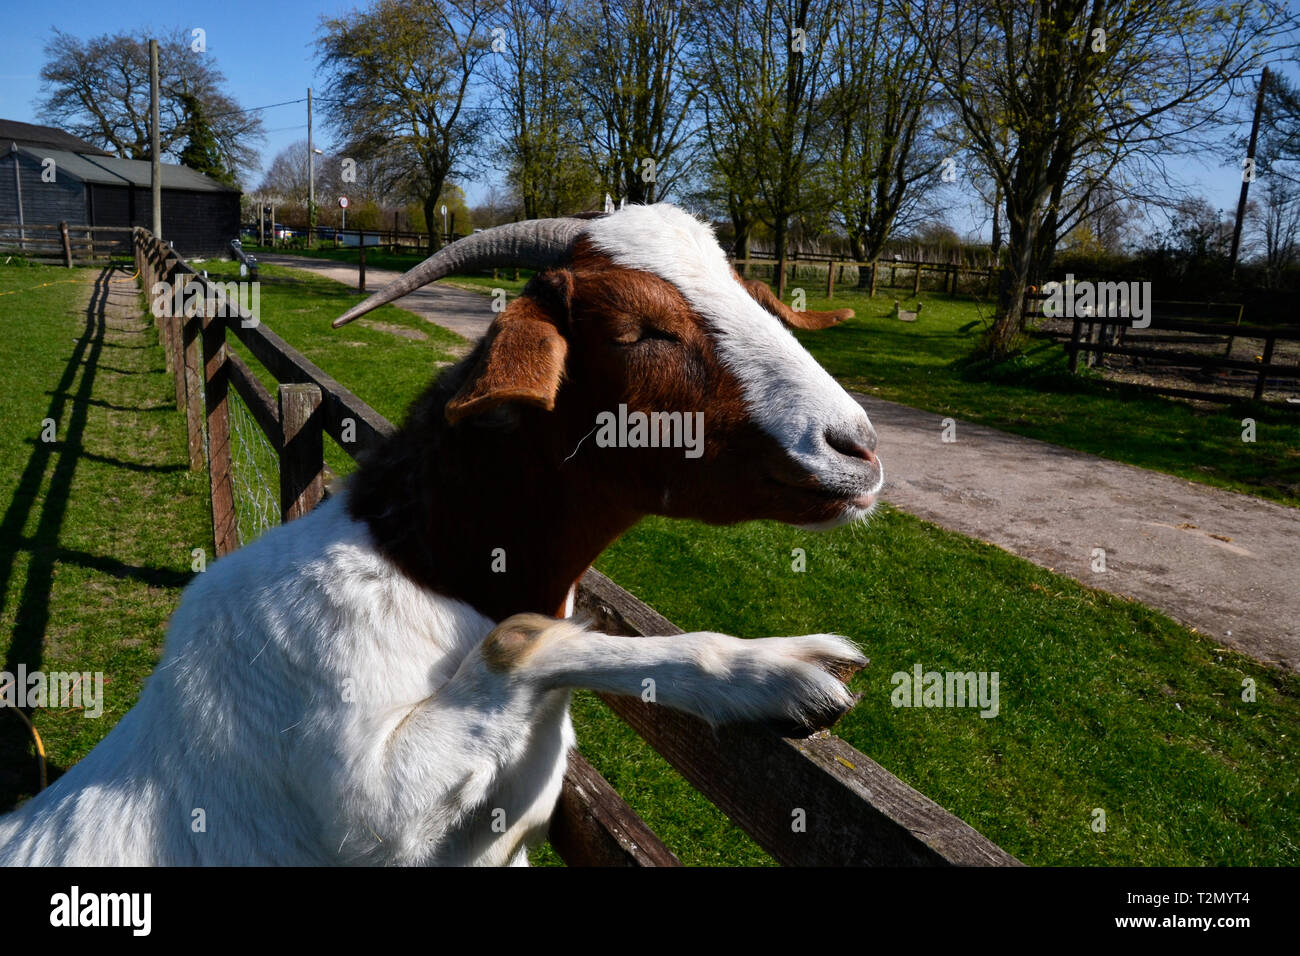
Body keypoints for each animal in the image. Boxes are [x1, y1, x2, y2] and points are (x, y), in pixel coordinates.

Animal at [0, 204, 883, 868]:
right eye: (640, 328)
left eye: (754, 295)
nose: (857, 449)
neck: (417, 566)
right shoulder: (370, 809)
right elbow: (521, 638)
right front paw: (781, 670)